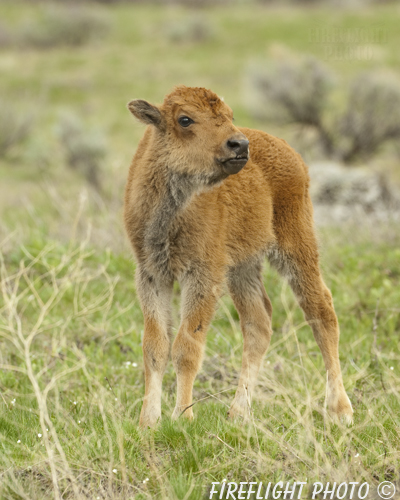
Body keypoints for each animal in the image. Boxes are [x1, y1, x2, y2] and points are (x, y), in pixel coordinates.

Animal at [124, 84, 354, 428]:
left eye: (230, 115)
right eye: (185, 119)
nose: (238, 144)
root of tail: (291, 153)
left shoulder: (202, 276)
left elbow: (186, 348)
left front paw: (183, 418)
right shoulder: (152, 274)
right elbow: (155, 348)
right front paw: (147, 422)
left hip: (296, 246)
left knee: (321, 311)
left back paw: (340, 410)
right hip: (243, 266)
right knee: (258, 324)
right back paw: (238, 413)